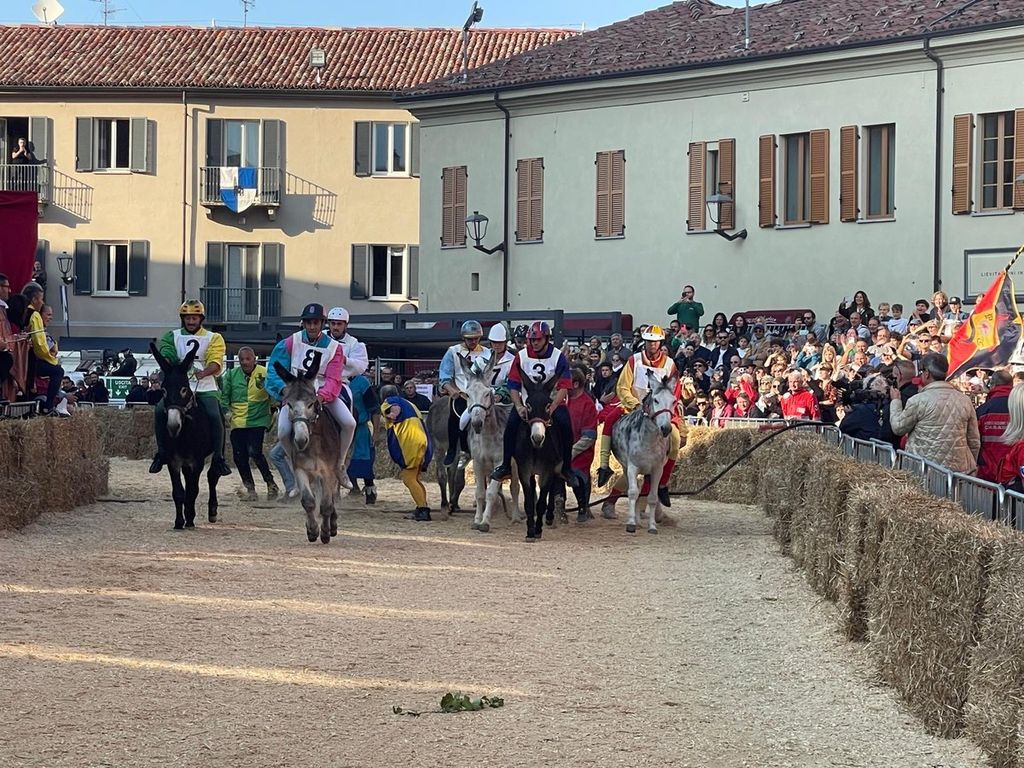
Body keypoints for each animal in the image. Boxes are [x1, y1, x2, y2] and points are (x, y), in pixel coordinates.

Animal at [150, 342, 220, 530]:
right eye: (163, 390)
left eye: (184, 389)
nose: (173, 425)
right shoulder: (172, 460)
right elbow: (179, 492)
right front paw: (179, 521)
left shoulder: (197, 460)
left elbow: (193, 490)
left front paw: (189, 518)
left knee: (213, 476)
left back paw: (212, 511)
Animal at [273, 362, 343, 544]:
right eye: (289, 404)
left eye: (311, 403)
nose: (300, 440)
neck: (314, 443)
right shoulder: (301, 470)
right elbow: (308, 501)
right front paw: (312, 530)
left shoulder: (328, 472)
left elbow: (326, 504)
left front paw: (325, 532)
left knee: (331, 496)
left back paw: (333, 523)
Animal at [457, 356, 521, 533]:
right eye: (468, 394)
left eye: (487, 393)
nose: (477, 423)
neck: (488, 436)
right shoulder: (478, 463)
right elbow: (480, 493)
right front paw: (476, 520)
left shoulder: (500, 463)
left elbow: (491, 493)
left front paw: (485, 522)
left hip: (515, 465)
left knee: (515, 488)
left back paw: (516, 517)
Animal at [512, 377, 567, 542]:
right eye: (528, 405)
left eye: (548, 405)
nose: (537, 438)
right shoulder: (524, 470)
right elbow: (529, 503)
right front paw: (530, 532)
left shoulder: (547, 470)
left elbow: (542, 502)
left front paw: (538, 530)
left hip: (556, 467)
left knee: (554, 486)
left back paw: (549, 517)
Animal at [610, 372, 679, 534]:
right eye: (656, 400)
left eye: (673, 401)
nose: (666, 428)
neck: (649, 441)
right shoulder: (632, 467)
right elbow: (632, 493)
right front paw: (631, 523)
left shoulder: (657, 470)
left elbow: (652, 497)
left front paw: (652, 526)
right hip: (626, 468)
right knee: (633, 490)